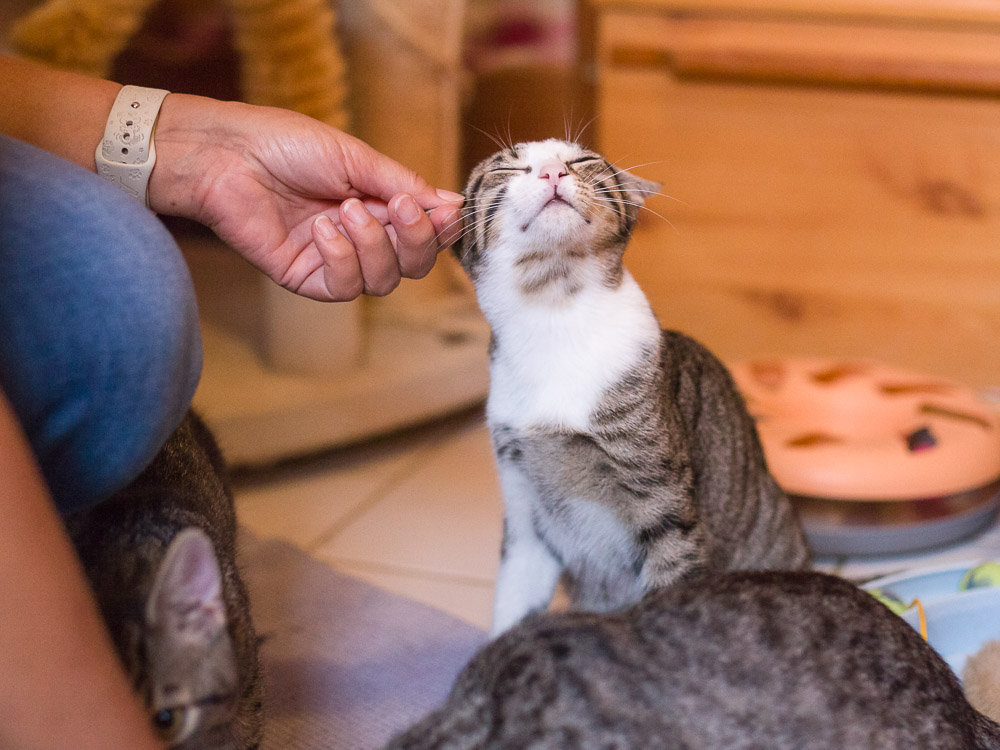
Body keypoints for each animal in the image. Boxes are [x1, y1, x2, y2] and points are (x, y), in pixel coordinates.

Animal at [454, 141, 812, 636]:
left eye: (582, 161)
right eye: (509, 165)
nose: (552, 172)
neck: (555, 319)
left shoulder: (664, 502)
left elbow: (670, 583)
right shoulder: (524, 510)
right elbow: (513, 605)